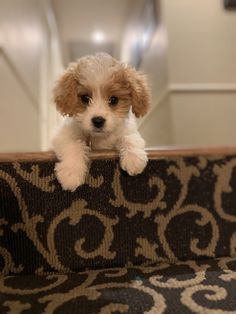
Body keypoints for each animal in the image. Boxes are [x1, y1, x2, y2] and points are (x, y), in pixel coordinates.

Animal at [51, 52, 151, 190]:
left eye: (113, 99)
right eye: (85, 98)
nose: (98, 121)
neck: (99, 137)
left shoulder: (126, 130)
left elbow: (129, 137)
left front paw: (134, 158)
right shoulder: (63, 136)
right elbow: (73, 145)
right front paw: (71, 174)